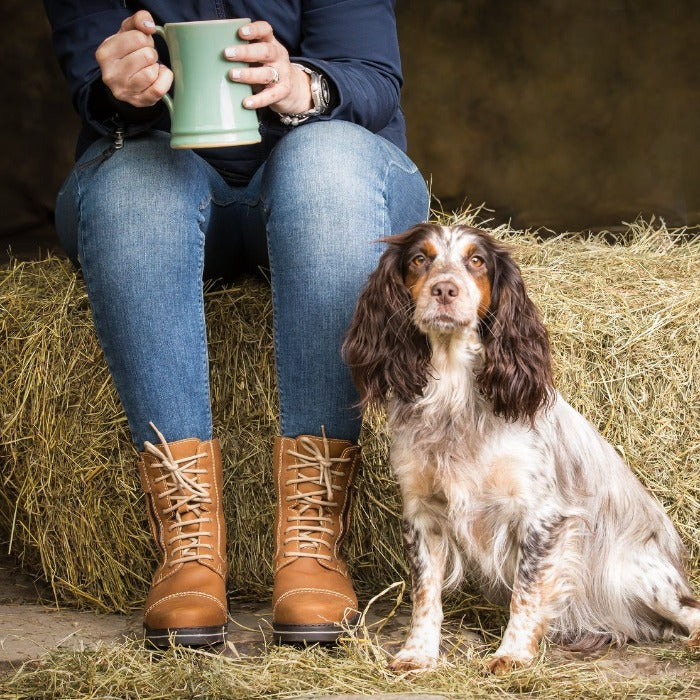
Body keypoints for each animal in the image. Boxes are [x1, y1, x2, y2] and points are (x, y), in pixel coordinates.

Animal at [342, 223, 696, 672]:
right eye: (420, 259)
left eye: (477, 261)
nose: (444, 290)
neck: (456, 395)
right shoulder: (423, 513)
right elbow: (425, 593)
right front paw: (417, 653)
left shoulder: (541, 516)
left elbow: (525, 593)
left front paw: (511, 654)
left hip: (639, 577)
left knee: (690, 610)